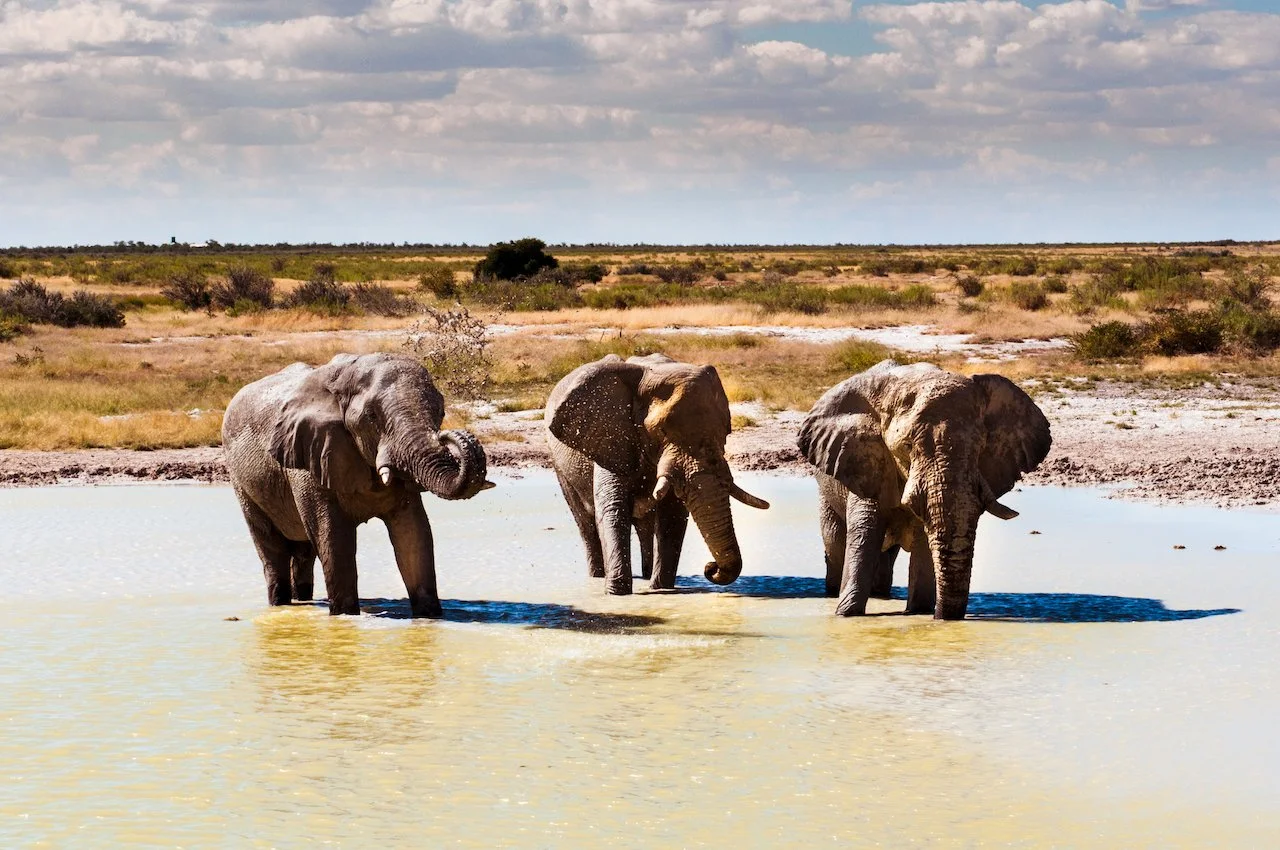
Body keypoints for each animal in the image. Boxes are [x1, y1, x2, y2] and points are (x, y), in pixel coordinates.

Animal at [222, 352, 492, 618]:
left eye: (441, 411)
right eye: (372, 417)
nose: (446, 437)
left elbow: (414, 532)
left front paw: (430, 618)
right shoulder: (308, 459)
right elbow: (333, 537)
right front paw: (345, 617)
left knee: (304, 551)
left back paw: (304, 601)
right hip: (241, 480)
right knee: (271, 547)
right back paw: (280, 604)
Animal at [545, 353, 770, 595]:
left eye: (726, 431)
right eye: (661, 430)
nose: (710, 568)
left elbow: (672, 514)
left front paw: (662, 590)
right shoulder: (612, 438)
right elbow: (614, 509)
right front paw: (617, 594)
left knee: (645, 525)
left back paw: (646, 575)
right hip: (560, 467)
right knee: (585, 523)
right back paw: (597, 577)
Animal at [796, 360, 1051, 620]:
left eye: (980, 447)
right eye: (907, 446)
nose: (942, 617)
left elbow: (922, 542)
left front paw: (918, 612)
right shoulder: (868, 461)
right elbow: (864, 534)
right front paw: (846, 615)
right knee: (836, 543)